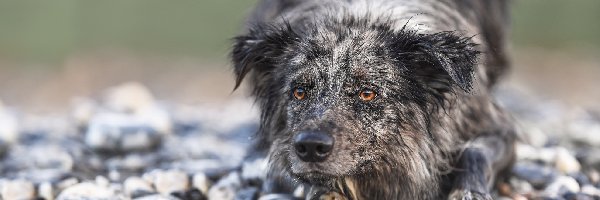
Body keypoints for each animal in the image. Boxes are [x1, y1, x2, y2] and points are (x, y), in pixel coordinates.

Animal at [230, 0, 516, 199]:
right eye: (299, 91)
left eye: (367, 93)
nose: (310, 146)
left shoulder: (497, 126)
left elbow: (474, 151)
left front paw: (469, 192)